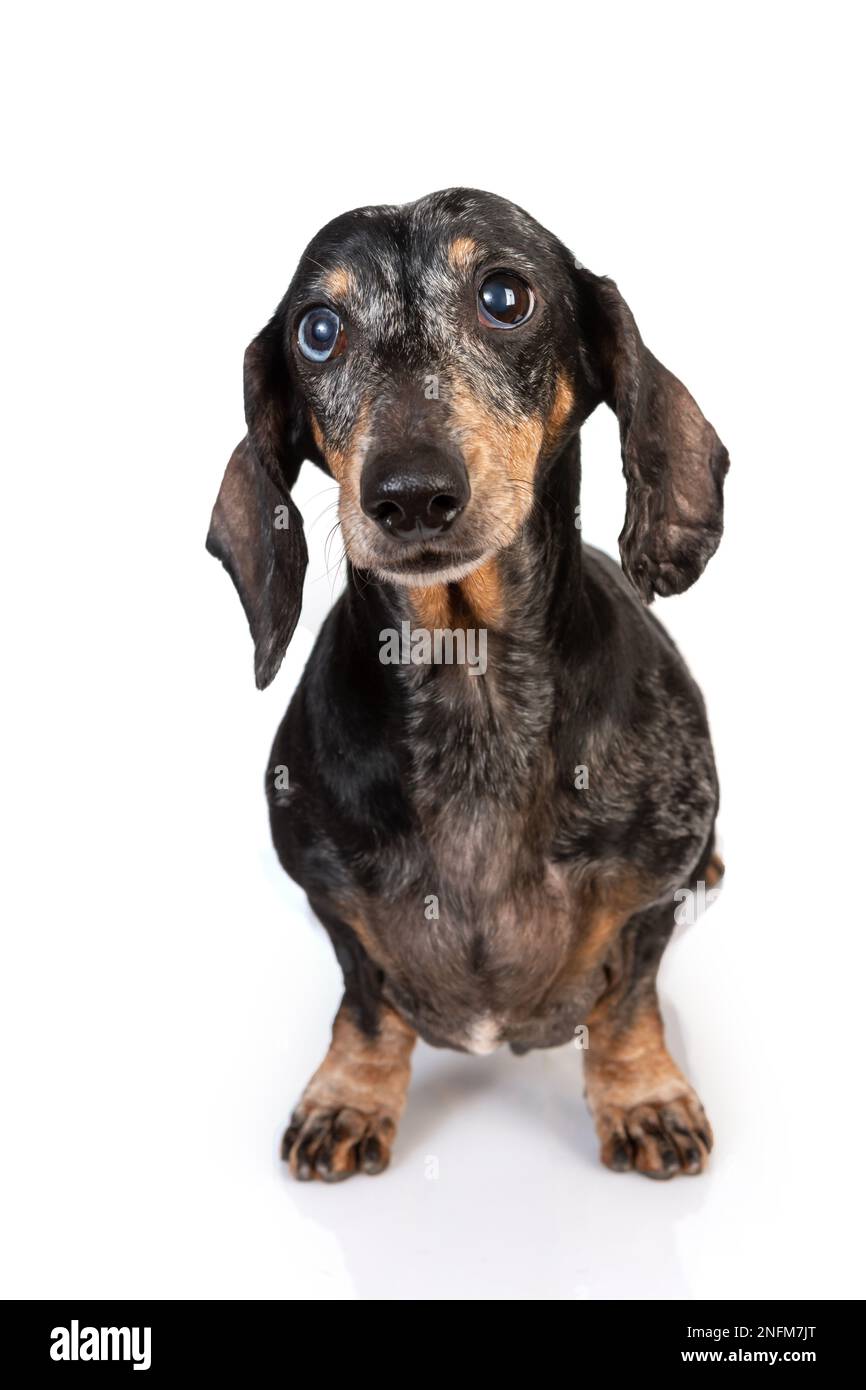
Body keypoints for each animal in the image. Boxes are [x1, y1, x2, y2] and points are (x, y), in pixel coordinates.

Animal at [209, 184, 733, 1184]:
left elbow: (626, 1005)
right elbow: (367, 1003)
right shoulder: (328, 898)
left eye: (503, 297)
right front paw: (350, 1094)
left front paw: (643, 1096)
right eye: (318, 330)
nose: (410, 494)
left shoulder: (650, 893)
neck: (473, 682)